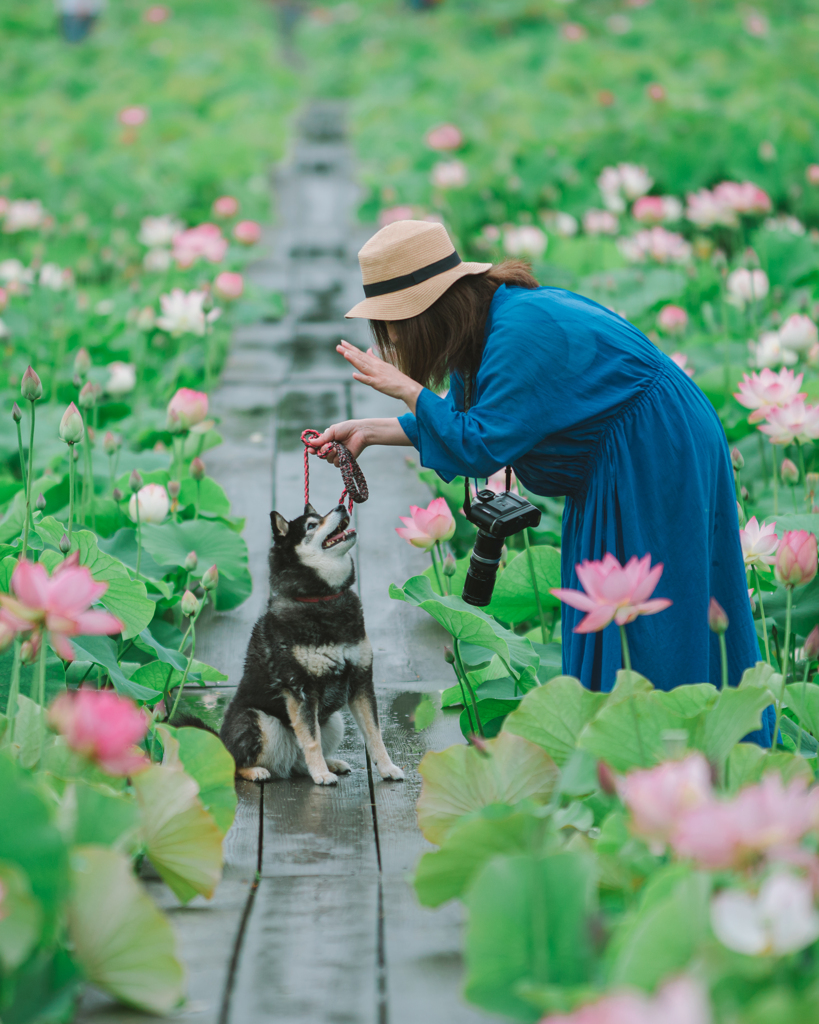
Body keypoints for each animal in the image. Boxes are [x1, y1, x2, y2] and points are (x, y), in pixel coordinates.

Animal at [219, 501, 405, 782]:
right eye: (311, 525)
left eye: (320, 515)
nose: (341, 506)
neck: (322, 599)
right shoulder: (301, 689)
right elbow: (311, 740)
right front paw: (321, 775)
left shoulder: (361, 680)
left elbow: (374, 733)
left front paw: (387, 767)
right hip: (259, 720)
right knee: (236, 763)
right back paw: (257, 771)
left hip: (335, 721)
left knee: (299, 761)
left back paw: (331, 764)